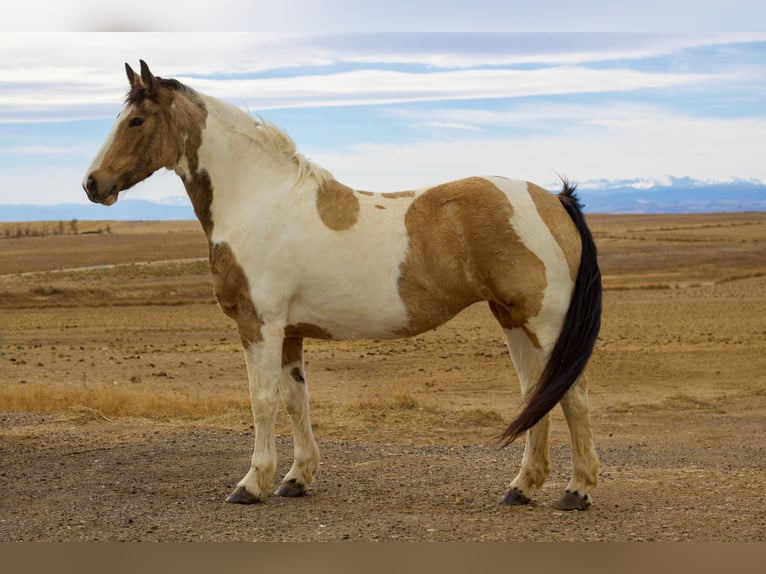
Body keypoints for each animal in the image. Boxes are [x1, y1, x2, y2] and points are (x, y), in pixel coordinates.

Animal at [83, 60, 602, 511]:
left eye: (136, 120)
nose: (92, 184)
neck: (258, 201)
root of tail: (551, 200)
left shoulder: (259, 325)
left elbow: (262, 400)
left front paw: (251, 484)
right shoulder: (289, 332)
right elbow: (296, 401)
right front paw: (295, 479)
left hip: (544, 323)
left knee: (573, 396)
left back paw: (576, 492)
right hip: (512, 320)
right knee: (537, 393)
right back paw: (521, 487)